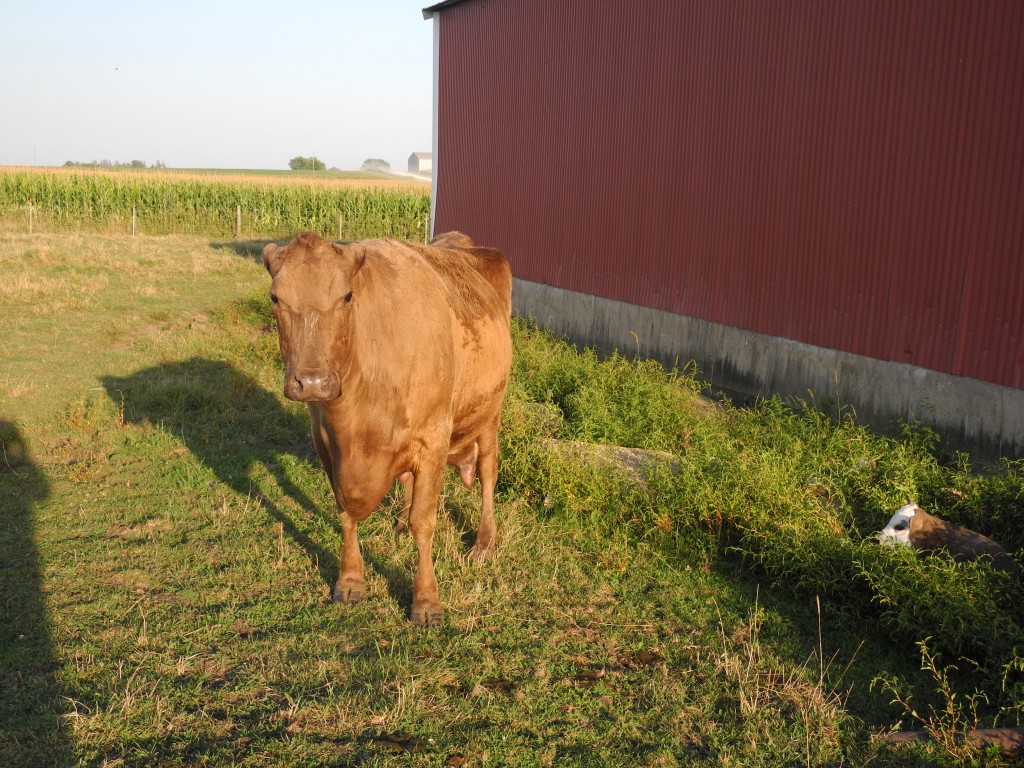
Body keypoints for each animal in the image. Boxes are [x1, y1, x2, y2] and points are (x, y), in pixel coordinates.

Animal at [260, 228, 507, 626]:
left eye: (346, 296)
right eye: (275, 297)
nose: (312, 383)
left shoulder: (434, 439)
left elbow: (426, 522)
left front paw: (426, 601)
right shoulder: (325, 443)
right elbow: (345, 512)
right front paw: (350, 581)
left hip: (489, 412)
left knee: (487, 473)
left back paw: (484, 544)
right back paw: (401, 524)